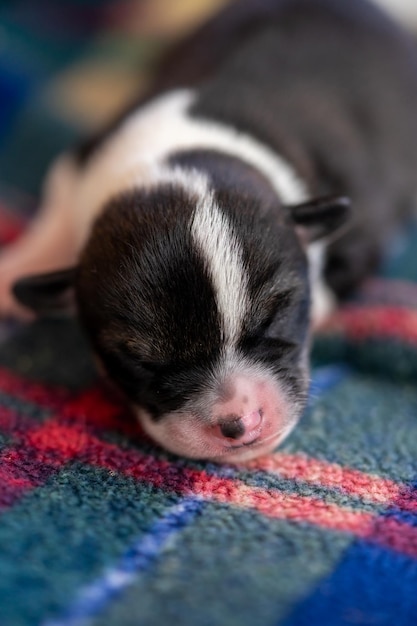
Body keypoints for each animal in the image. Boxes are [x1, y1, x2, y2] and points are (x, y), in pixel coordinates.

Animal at [0, 0, 416, 460]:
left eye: (275, 316)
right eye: (141, 361)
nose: (239, 424)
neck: (178, 156)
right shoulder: (81, 160)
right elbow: (56, 212)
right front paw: (16, 269)